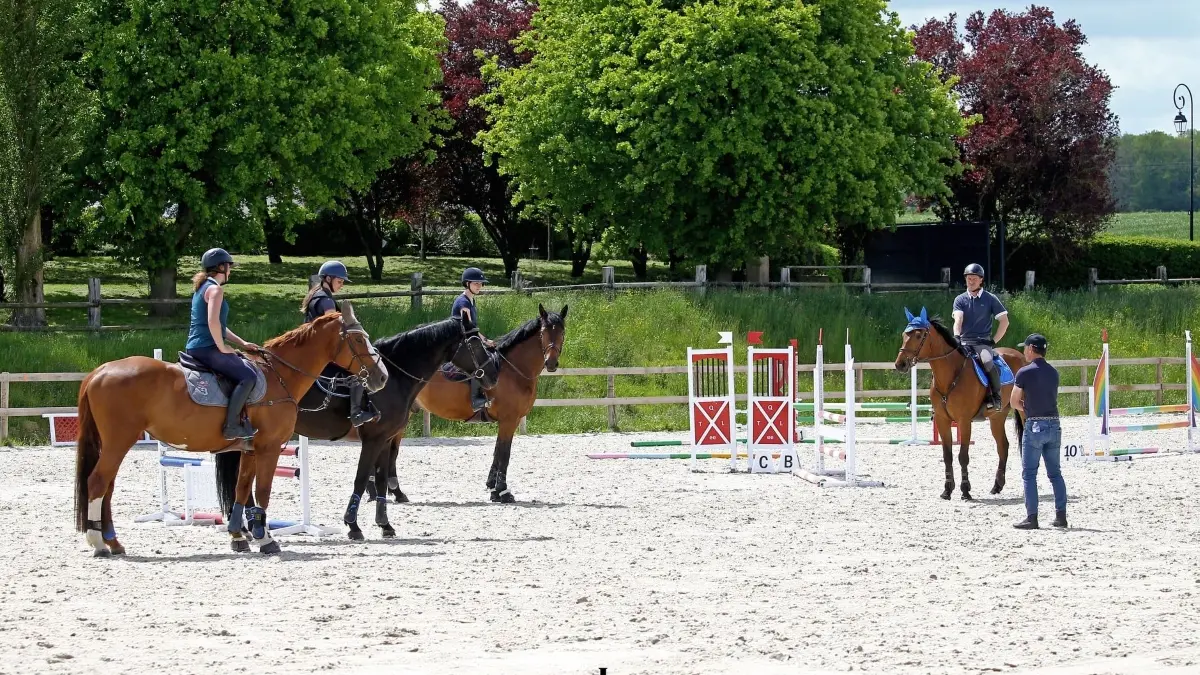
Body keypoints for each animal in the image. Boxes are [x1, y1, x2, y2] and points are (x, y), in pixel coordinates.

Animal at [73, 302, 384, 554]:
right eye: (359, 338)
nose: (381, 376)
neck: (278, 375)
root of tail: (100, 371)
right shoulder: (269, 448)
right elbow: (263, 491)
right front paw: (266, 539)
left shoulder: (249, 450)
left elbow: (242, 489)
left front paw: (238, 536)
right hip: (118, 442)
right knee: (98, 482)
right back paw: (98, 543)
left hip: (114, 444)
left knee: (108, 487)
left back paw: (113, 541)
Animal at [213, 312, 494, 538]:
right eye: (476, 342)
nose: (492, 372)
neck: (395, 378)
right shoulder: (373, 440)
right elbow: (361, 479)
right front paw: (353, 525)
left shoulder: (386, 440)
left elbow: (380, 481)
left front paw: (384, 524)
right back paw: (252, 526)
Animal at [374, 302, 566, 502]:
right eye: (544, 332)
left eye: (562, 332)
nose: (551, 363)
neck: (514, 370)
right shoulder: (509, 420)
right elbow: (504, 454)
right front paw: (503, 491)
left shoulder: (506, 422)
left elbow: (497, 452)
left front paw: (493, 489)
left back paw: (394, 492)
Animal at [897, 307, 1027, 497]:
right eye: (904, 335)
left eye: (919, 335)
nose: (900, 364)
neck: (950, 375)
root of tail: (1022, 356)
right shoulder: (942, 420)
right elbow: (947, 455)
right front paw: (947, 490)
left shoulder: (964, 421)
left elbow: (963, 456)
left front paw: (965, 490)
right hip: (997, 416)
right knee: (1003, 445)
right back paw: (997, 486)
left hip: (1024, 411)